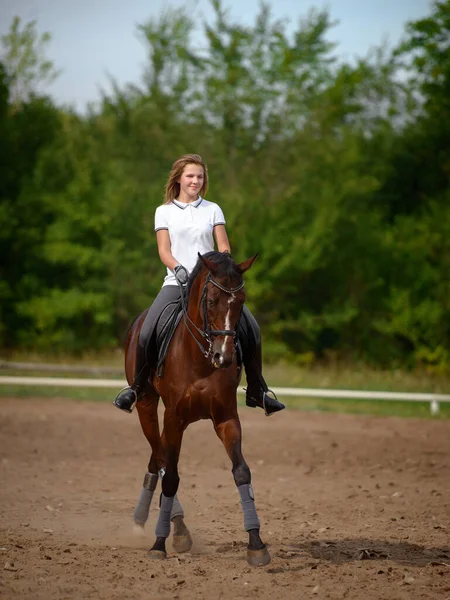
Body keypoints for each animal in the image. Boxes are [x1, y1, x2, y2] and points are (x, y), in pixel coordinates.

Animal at [124, 250, 270, 568]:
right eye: (212, 301)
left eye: (241, 302)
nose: (223, 357)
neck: (201, 359)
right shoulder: (174, 418)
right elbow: (172, 476)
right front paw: (158, 544)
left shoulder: (226, 418)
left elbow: (242, 472)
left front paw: (256, 544)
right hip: (146, 406)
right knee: (161, 458)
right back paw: (168, 527)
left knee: (158, 457)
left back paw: (156, 523)